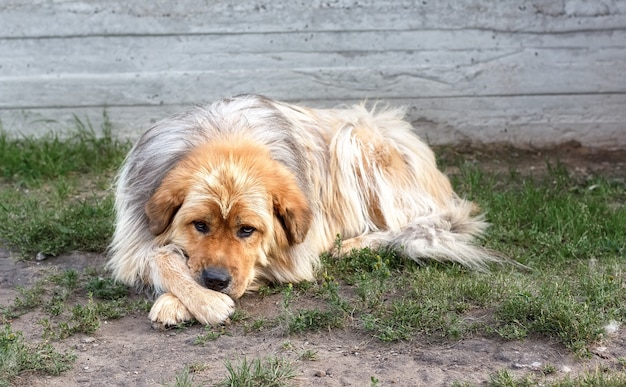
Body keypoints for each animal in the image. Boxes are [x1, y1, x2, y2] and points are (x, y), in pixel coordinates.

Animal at [105, 94, 500, 328]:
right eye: (199, 225)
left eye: (247, 230)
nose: (215, 282)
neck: (226, 137)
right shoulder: (135, 240)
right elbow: (161, 257)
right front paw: (196, 298)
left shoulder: (290, 257)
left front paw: (197, 301)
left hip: (353, 139)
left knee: (406, 223)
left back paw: (351, 244)